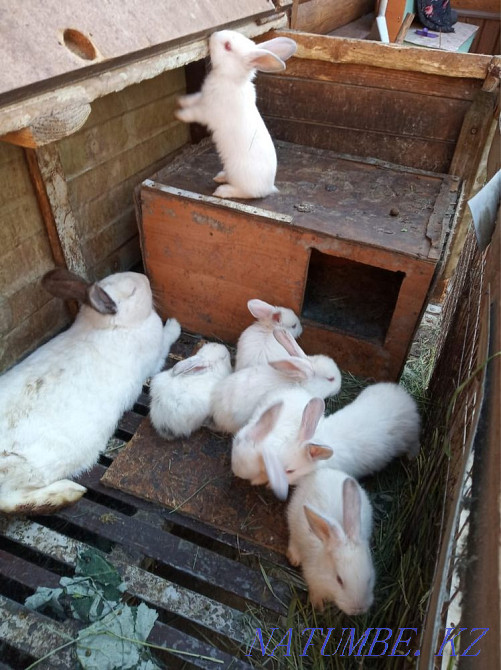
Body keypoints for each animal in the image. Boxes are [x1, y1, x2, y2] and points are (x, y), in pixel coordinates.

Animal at [0, 268, 181, 514]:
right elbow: (167, 340)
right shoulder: (156, 356)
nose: (145, 278)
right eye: (133, 291)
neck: (110, 325)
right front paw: (174, 324)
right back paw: (69, 492)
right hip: (30, 469)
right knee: (10, 501)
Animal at [175, 30, 296, 200]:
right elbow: (193, 99)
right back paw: (220, 177)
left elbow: (194, 113)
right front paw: (181, 100)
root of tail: (269, 188)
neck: (228, 78)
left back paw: (222, 191)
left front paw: (180, 114)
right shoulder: (202, 98)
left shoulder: (208, 111)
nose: (212, 35)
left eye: (227, 46)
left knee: (245, 193)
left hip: (241, 180)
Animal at [287, 468, 375, 615]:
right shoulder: (312, 578)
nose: (357, 609)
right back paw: (294, 557)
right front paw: (318, 606)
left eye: (369, 579)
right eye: (339, 580)